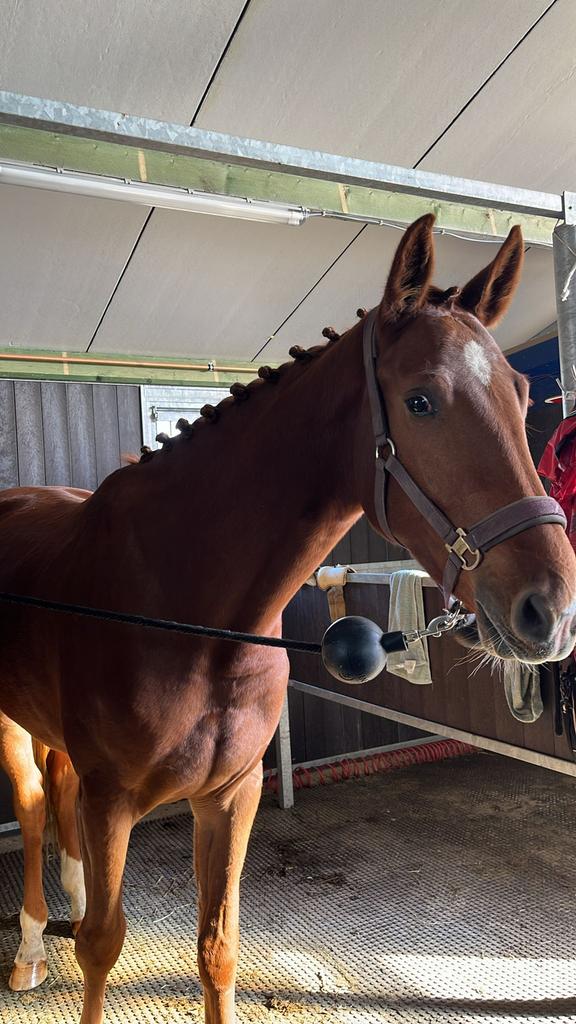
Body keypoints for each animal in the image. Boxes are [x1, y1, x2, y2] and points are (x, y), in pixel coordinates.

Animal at [0, 214, 575, 1024]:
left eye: (524, 394)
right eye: (421, 401)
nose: (550, 607)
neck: (190, 614)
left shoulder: (231, 796)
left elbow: (216, 950)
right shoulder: (113, 803)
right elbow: (101, 949)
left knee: (55, 793)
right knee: (29, 807)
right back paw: (27, 948)